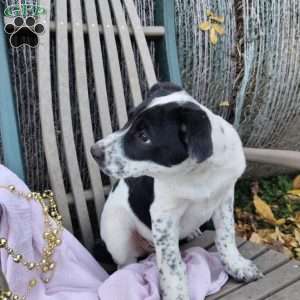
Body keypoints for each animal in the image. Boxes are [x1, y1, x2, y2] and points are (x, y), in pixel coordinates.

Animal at [90, 82, 262, 300]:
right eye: (129, 118)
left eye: (144, 137)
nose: (94, 152)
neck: (198, 174)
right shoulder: (164, 217)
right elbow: (172, 266)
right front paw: (176, 294)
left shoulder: (225, 197)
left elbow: (226, 236)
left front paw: (237, 265)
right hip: (118, 233)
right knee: (125, 265)